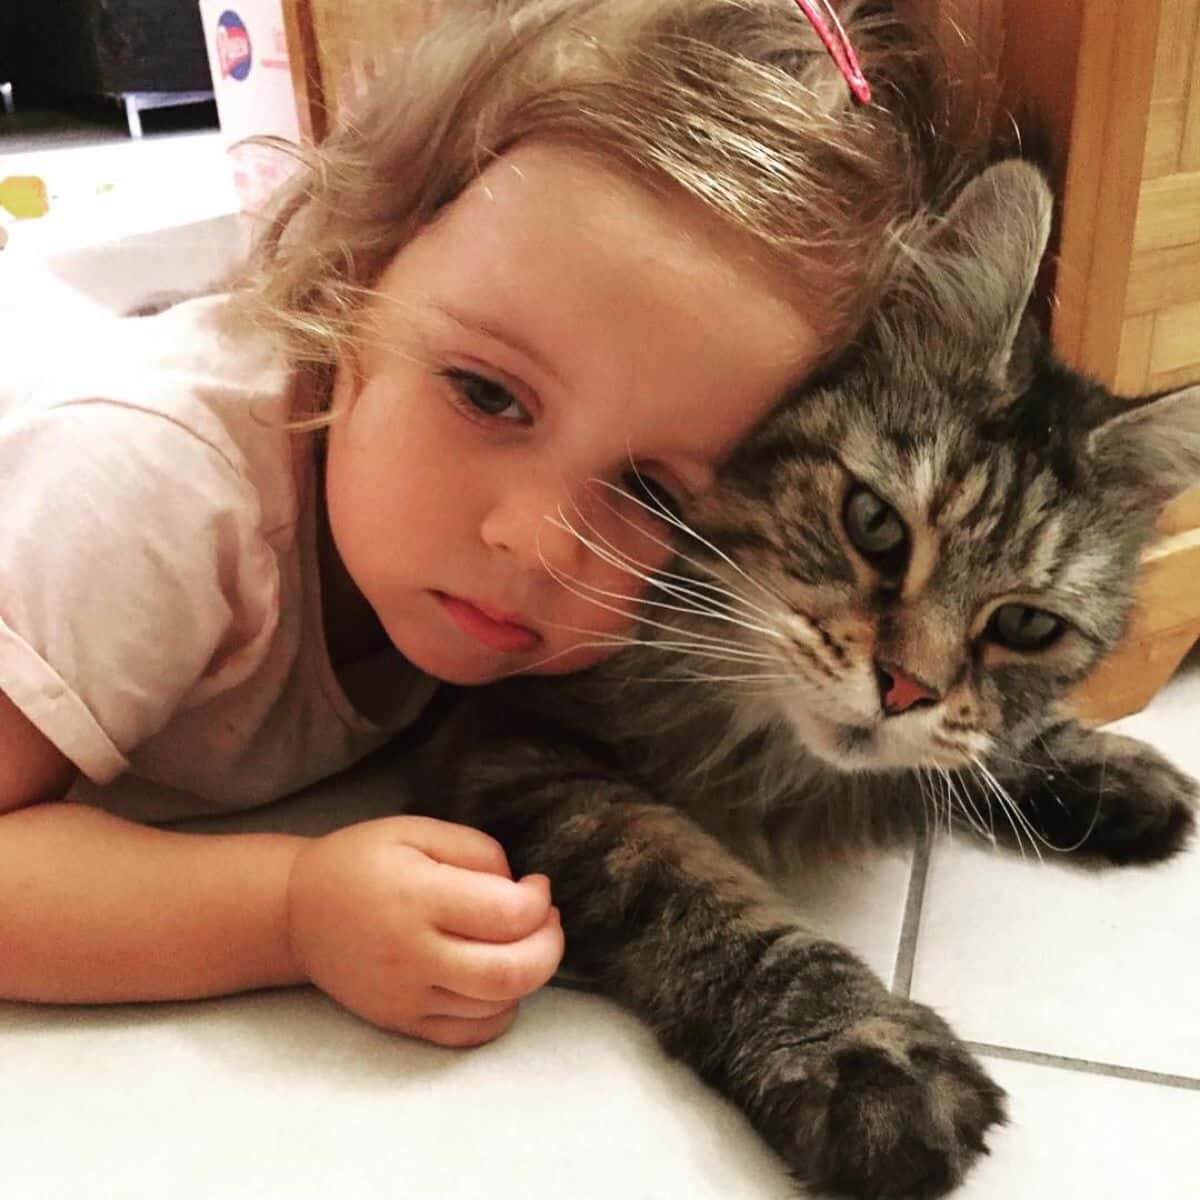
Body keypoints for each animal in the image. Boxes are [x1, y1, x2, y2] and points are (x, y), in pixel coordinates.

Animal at [412, 164, 1200, 1200]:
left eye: (1025, 627)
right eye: (874, 524)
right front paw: (857, 1045)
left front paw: (1095, 766)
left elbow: (989, 745)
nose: (904, 688)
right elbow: (694, 889)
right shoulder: (520, 738)